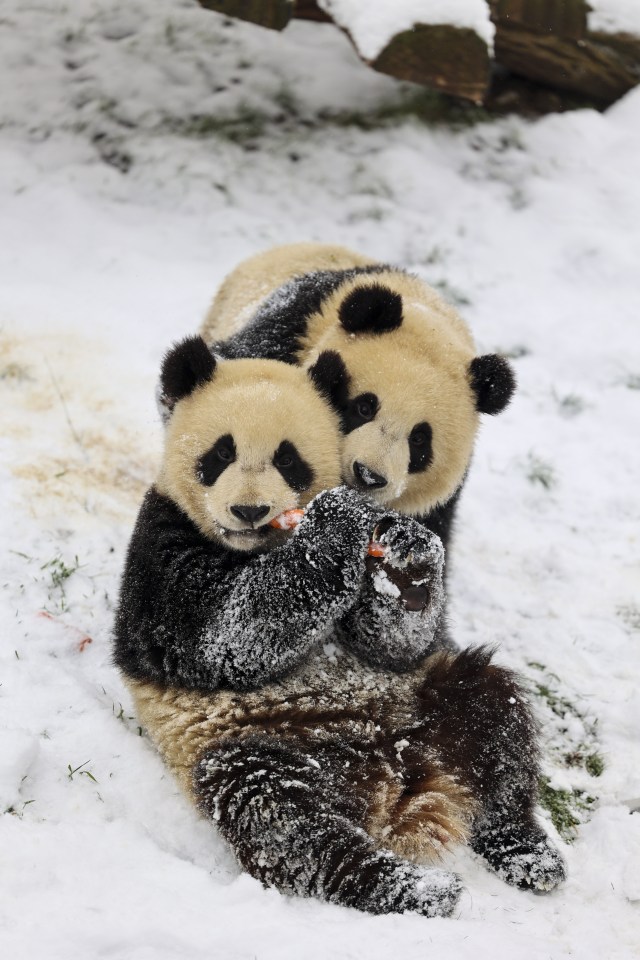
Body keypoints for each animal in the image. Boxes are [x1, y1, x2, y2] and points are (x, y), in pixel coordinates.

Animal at [115, 334, 564, 920]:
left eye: (288, 459)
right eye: (221, 453)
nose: (250, 510)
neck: (260, 547)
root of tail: (396, 785)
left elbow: (390, 645)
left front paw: (407, 558)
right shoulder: (159, 550)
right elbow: (225, 633)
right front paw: (337, 520)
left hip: (425, 701)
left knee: (492, 716)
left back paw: (526, 850)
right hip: (259, 747)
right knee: (283, 818)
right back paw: (409, 889)